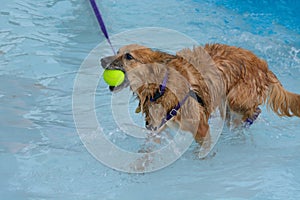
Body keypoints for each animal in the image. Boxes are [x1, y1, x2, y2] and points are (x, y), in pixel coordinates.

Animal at [101, 43, 300, 145]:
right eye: (117, 51)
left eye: (128, 56)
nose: (101, 59)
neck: (162, 87)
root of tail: (263, 66)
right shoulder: (156, 127)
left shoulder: (201, 127)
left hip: (237, 98)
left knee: (253, 111)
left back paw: (243, 125)